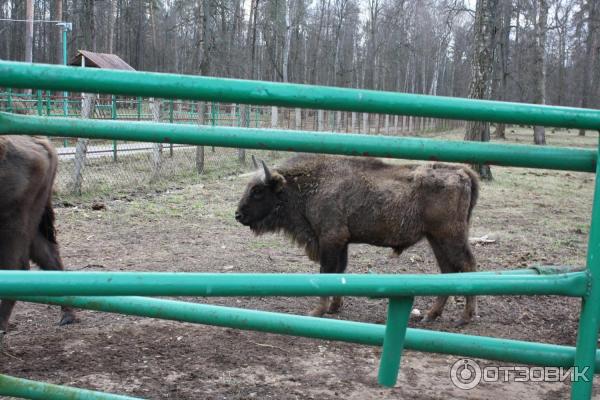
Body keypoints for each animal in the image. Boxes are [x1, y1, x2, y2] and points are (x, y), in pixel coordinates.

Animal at [0, 134, 76, 340]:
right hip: (30, 225)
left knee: (16, 268)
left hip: (13, 226)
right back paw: (67, 316)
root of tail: (39, 142)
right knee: (49, 258)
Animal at [237, 154, 480, 324]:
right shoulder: (342, 243)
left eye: (258, 190)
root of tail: (462, 172)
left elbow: (327, 273)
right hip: (435, 239)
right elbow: (339, 272)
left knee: (468, 266)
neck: (311, 184)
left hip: (450, 237)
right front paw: (334, 307)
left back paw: (464, 318)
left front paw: (317, 311)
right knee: (448, 271)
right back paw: (430, 315)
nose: (238, 215)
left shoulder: (330, 239)